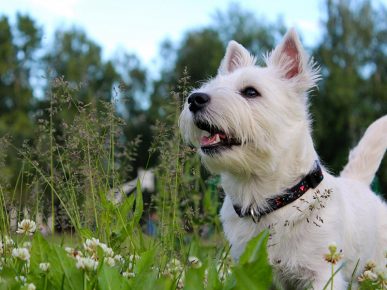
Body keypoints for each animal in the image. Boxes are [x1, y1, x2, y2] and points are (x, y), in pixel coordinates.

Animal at [180, 27, 387, 290]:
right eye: (212, 85)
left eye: (250, 91)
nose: (194, 99)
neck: (265, 200)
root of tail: (359, 184)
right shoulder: (247, 269)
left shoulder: (322, 272)